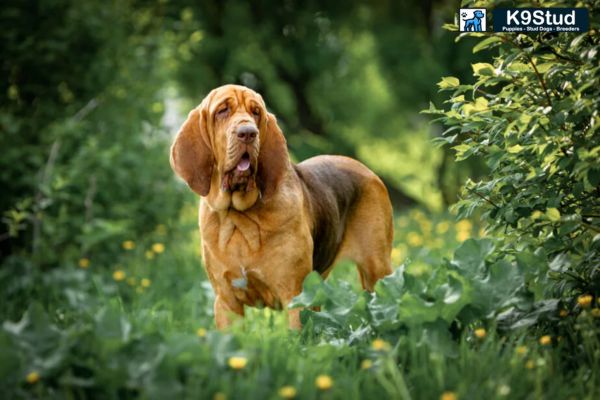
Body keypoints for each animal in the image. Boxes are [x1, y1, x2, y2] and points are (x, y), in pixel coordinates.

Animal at [170, 84, 394, 328]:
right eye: (222, 110)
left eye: (256, 112)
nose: (248, 133)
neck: (240, 218)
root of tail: (367, 170)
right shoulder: (227, 302)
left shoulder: (295, 297)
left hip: (377, 270)